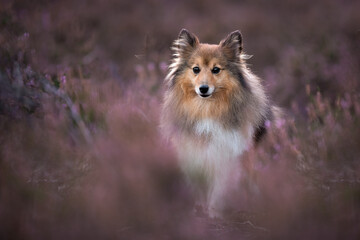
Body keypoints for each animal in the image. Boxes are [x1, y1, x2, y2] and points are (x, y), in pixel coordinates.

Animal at [160, 28, 278, 218]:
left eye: (216, 70)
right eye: (196, 69)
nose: (203, 89)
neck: (207, 109)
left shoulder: (226, 158)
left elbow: (219, 192)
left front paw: (214, 214)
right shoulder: (194, 155)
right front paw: (198, 211)